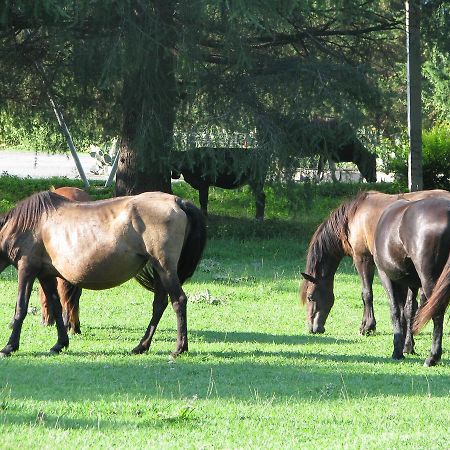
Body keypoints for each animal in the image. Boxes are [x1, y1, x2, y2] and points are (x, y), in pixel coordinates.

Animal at [300, 188, 450, 340]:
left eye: (310, 297)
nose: (312, 328)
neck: (353, 216)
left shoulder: (363, 259)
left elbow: (367, 293)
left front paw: (367, 326)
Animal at [374, 198, 450, 366]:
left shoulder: (386, 276)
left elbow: (395, 311)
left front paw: (397, 350)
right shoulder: (412, 283)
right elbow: (410, 311)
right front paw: (408, 347)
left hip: (430, 282)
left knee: (437, 313)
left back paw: (432, 357)